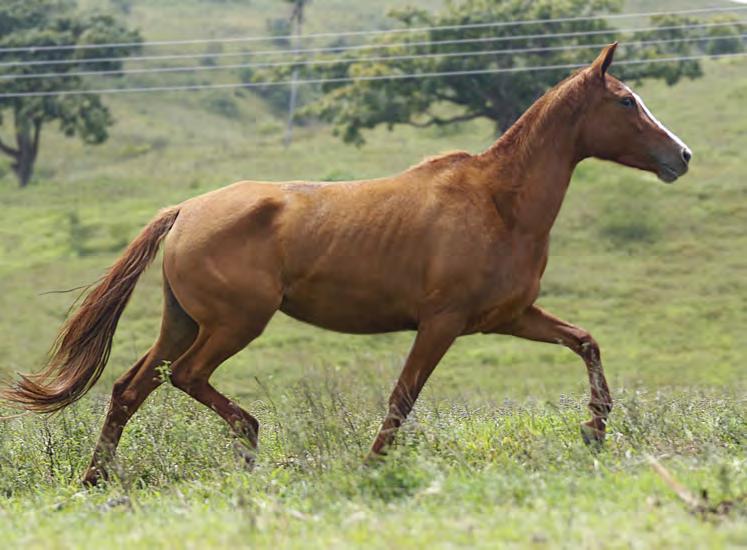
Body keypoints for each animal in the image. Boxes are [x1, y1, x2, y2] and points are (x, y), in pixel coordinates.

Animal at [2, 44, 696, 488]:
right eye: (627, 102)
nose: (683, 156)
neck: (499, 201)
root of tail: (186, 210)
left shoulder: (509, 316)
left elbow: (585, 342)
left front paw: (595, 430)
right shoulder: (442, 323)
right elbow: (402, 398)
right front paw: (372, 468)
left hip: (182, 323)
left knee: (129, 388)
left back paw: (95, 479)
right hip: (233, 325)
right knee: (188, 379)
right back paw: (250, 441)